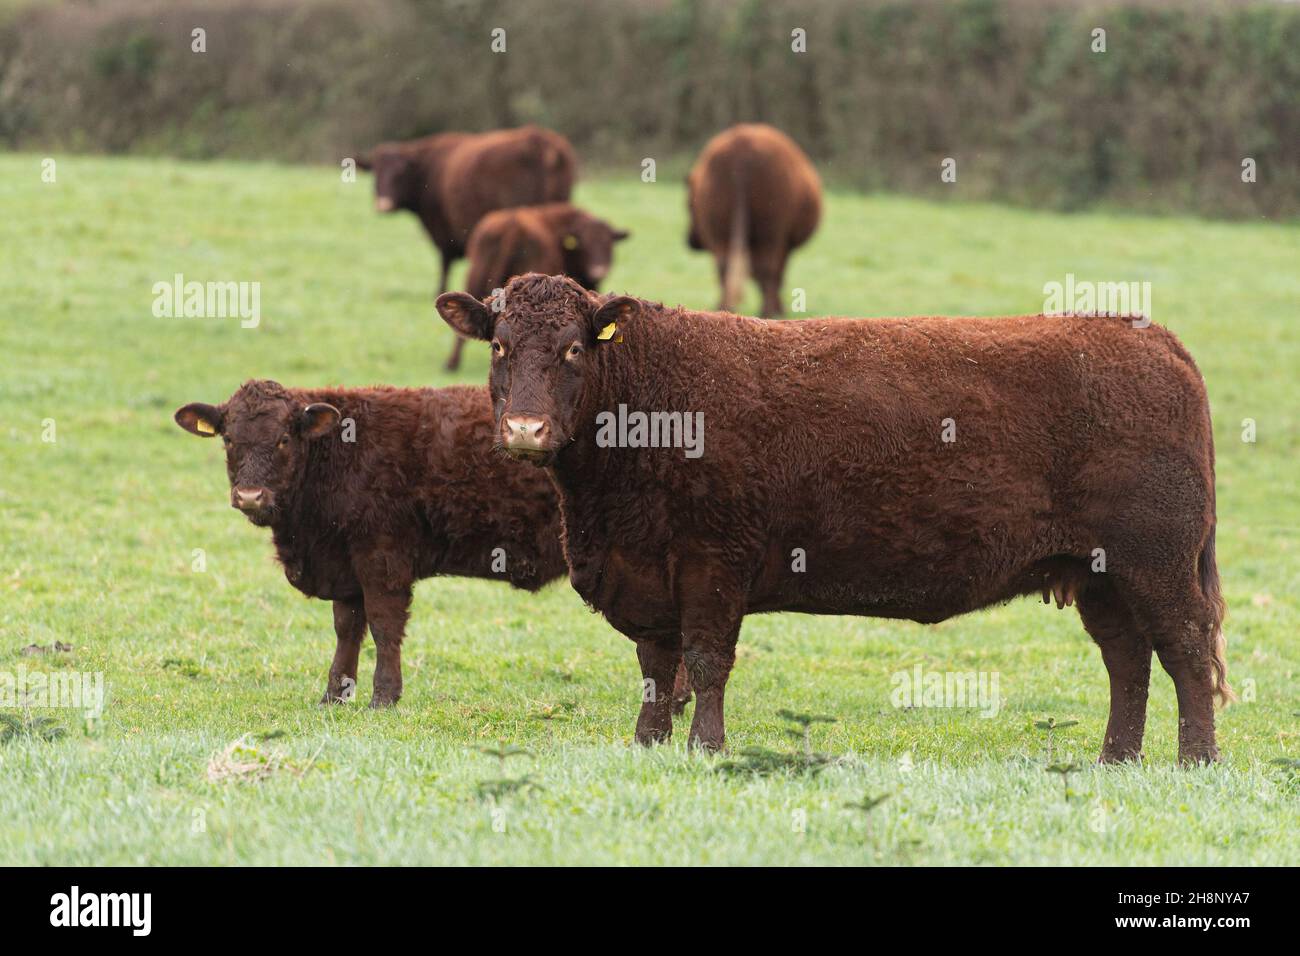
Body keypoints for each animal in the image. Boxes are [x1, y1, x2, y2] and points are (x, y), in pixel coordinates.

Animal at [171, 382, 564, 712]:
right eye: (228, 439)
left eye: (283, 439)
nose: (250, 496)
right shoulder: (345, 569)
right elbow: (347, 629)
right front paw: (334, 695)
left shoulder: (382, 559)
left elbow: (383, 625)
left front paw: (384, 697)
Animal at [358, 124, 577, 369]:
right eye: (376, 173)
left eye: (399, 174)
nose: (383, 205)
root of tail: (540, 139)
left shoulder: (445, 239)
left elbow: (444, 268)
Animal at [434, 273, 1227, 764]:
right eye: (499, 346)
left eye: (573, 348)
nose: (526, 430)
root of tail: (1148, 335)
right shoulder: (648, 570)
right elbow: (658, 667)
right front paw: (648, 745)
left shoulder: (714, 561)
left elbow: (706, 661)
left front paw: (706, 749)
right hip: (1099, 575)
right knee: (1128, 659)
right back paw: (1116, 759)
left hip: (1155, 562)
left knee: (1185, 650)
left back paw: (1196, 760)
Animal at [686, 121, 816, 317]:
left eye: (687, 205)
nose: (691, 241)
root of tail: (742, 148)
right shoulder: (783, 244)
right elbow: (775, 274)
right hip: (770, 232)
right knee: (767, 270)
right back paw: (767, 311)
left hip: (722, 232)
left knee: (726, 266)